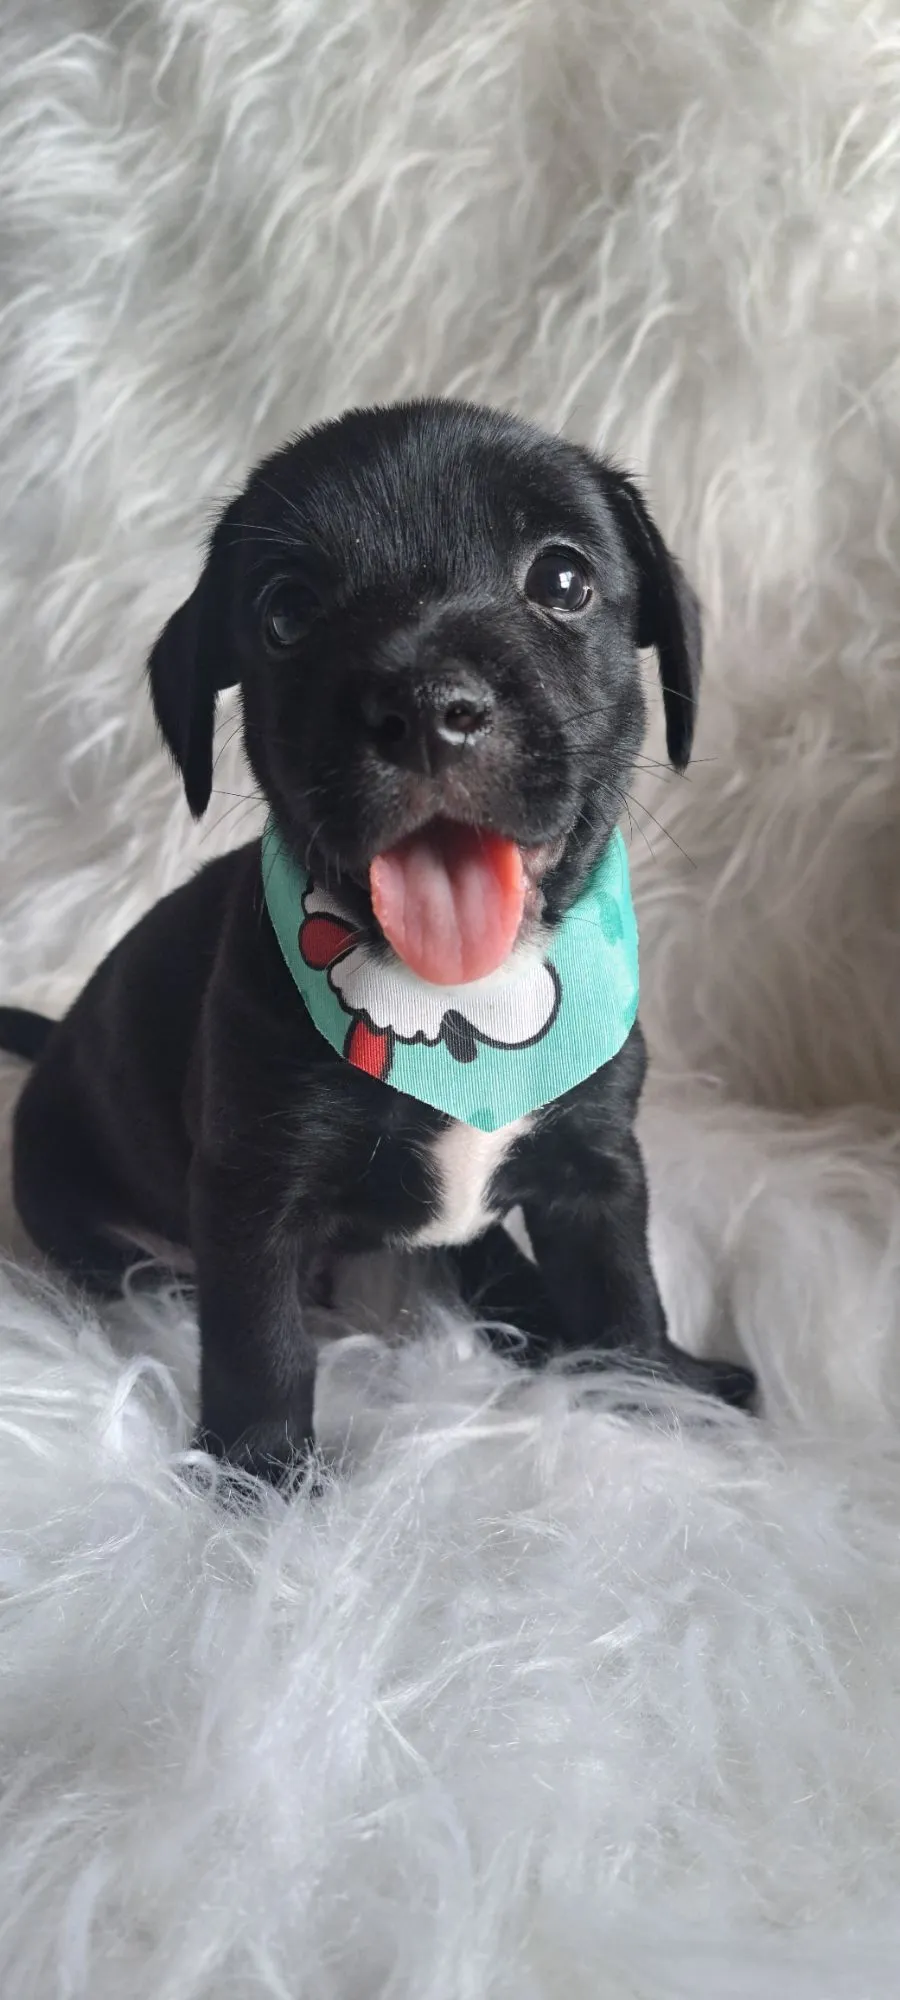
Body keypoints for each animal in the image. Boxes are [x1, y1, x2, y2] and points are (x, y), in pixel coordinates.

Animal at [0, 400, 755, 1480]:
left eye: (564, 581)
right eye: (285, 614)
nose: (428, 707)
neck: (456, 1004)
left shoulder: (597, 1170)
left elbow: (624, 1301)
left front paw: (654, 1400)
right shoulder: (251, 1192)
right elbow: (257, 1338)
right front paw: (261, 1480)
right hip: (85, 1208)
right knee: (157, 1277)